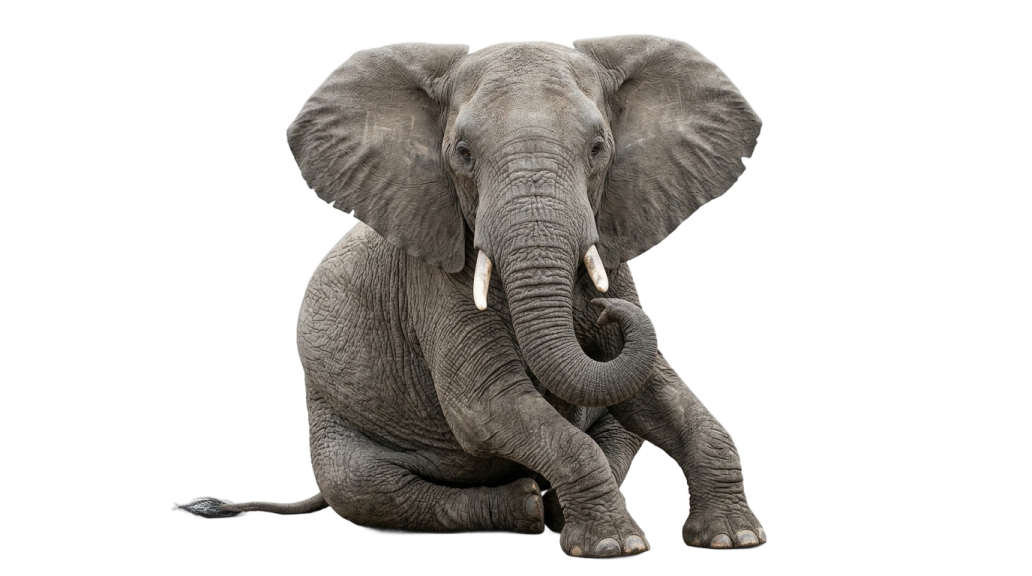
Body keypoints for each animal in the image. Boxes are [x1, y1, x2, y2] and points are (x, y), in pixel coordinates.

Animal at [172, 33, 765, 558]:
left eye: (599, 149)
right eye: (462, 153)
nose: (602, 313)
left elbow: (655, 393)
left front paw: (733, 538)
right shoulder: (430, 283)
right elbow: (485, 405)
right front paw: (613, 547)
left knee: (619, 431)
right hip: (331, 421)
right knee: (362, 486)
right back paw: (529, 506)